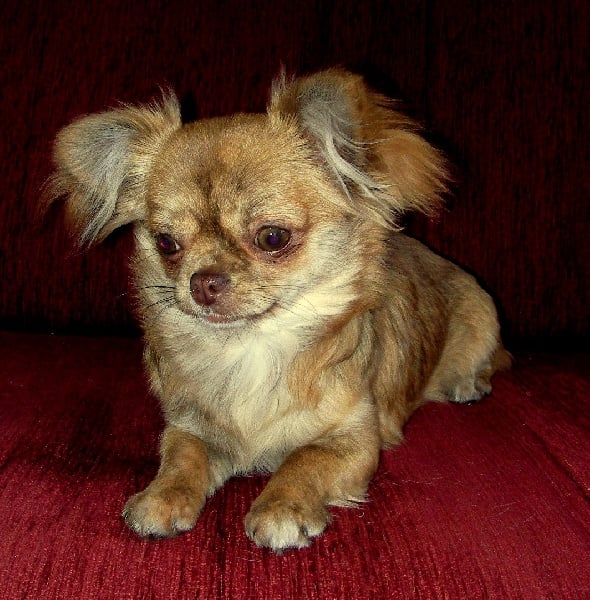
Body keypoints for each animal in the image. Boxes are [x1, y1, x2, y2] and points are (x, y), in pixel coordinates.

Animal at [47, 68, 510, 552]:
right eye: (167, 243)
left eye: (272, 238)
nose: (202, 281)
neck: (249, 350)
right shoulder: (189, 427)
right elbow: (181, 457)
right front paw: (161, 496)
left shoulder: (354, 440)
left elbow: (304, 458)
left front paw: (281, 507)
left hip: (481, 316)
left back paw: (468, 383)